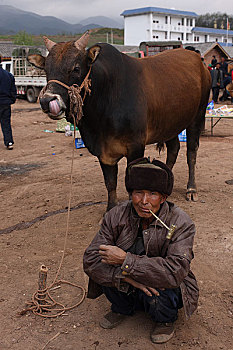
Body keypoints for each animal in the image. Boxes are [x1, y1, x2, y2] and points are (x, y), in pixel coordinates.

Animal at [27, 32, 211, 211]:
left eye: (76, 68)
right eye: (46, 69)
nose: (47, 100)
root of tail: (199, 61)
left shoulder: (136, 146)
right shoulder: (103, 152)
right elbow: (110, 183)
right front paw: (110, 209)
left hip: (197, 116)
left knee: (191, 152)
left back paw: (191, 189)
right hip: (170, 124)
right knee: (174, 149)